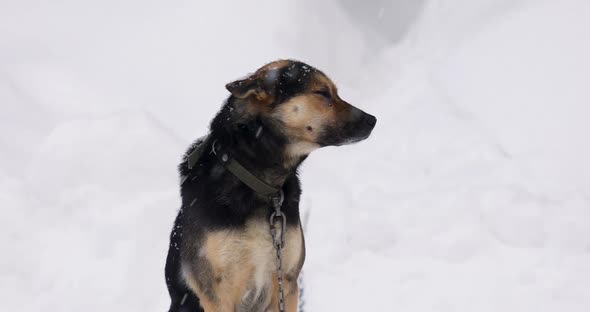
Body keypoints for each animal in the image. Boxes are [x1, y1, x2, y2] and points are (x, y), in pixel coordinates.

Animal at [165, 59, 380, 310]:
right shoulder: (216, 293)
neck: (260, 184)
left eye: (335, 92)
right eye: (322, 92)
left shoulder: (287, 281)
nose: (372, 120)